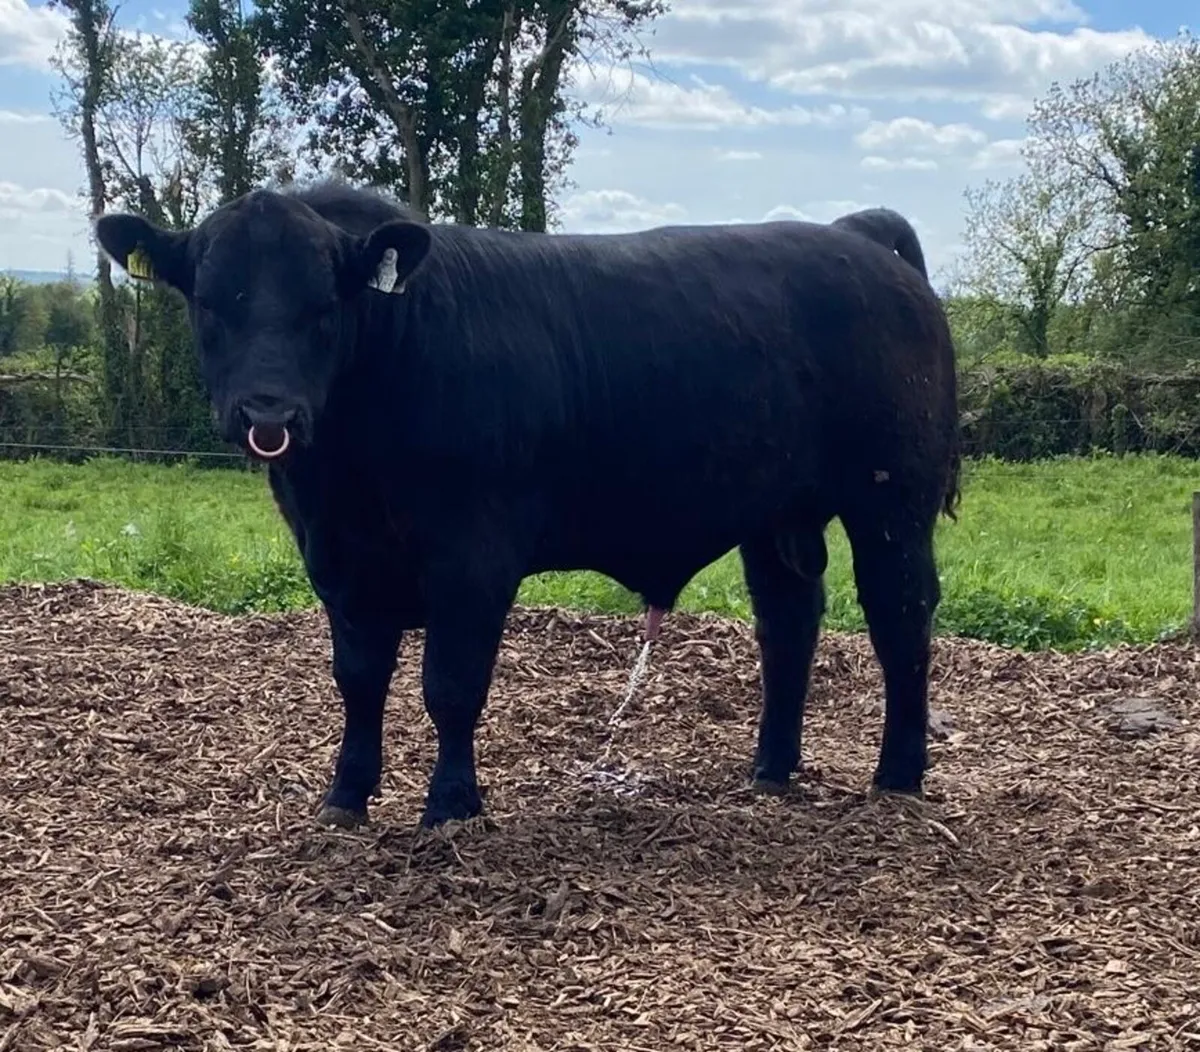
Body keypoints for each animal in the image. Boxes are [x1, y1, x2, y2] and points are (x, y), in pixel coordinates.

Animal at [93, 181, 961, 830]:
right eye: (212, 302)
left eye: (324, 307)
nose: (268, 412)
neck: (349, 471)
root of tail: (854, 235)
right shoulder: (337, 559)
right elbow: (359, 679)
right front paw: (345, 797)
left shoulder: (472, 559)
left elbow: (450, 684)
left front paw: (450, 806)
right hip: (777, 513)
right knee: (788, 624)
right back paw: (771, 770)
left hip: (893, 501)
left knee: (899, 617)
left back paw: (897, 776)